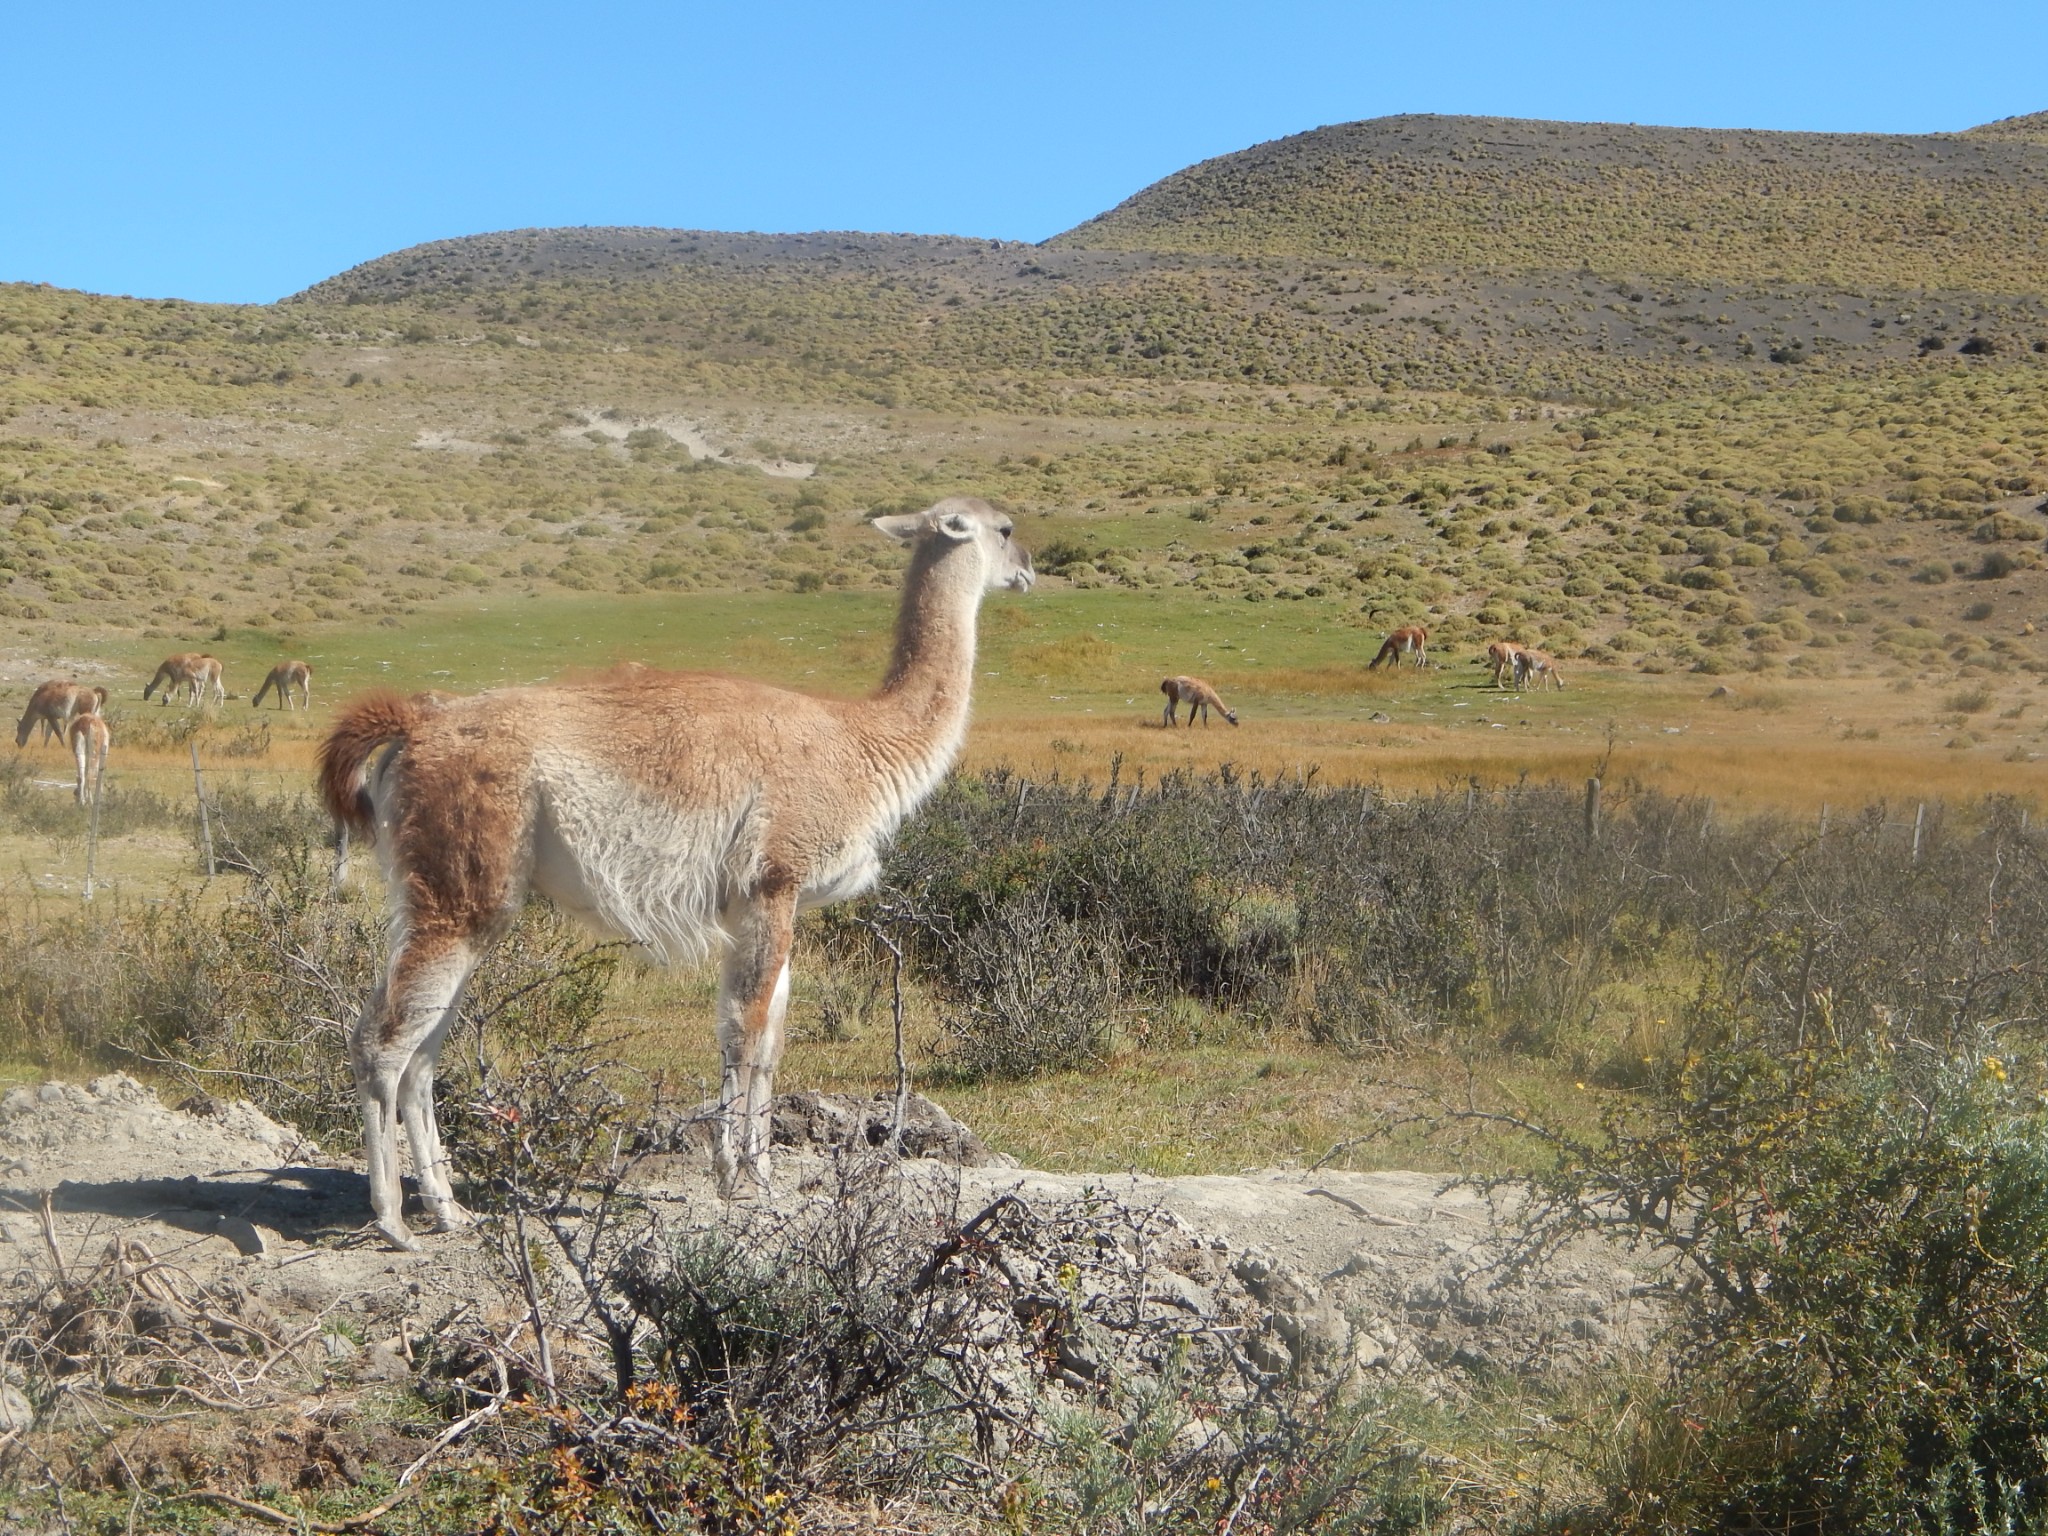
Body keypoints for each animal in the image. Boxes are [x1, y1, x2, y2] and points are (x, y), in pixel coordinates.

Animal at [319, 497, 1034, 1250]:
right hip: (458, 891)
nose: (1027, 570)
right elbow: (744, 1029)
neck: (862, 741)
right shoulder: (773, 880)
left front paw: (762, 1175)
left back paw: (447, 1209)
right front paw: (733, 1176)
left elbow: (769, 1036)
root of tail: (417, 723)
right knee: (382, 1043)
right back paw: (393, 1220)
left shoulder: (766, 902)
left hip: (456, 898)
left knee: (423, 1054)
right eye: (1006, 530)